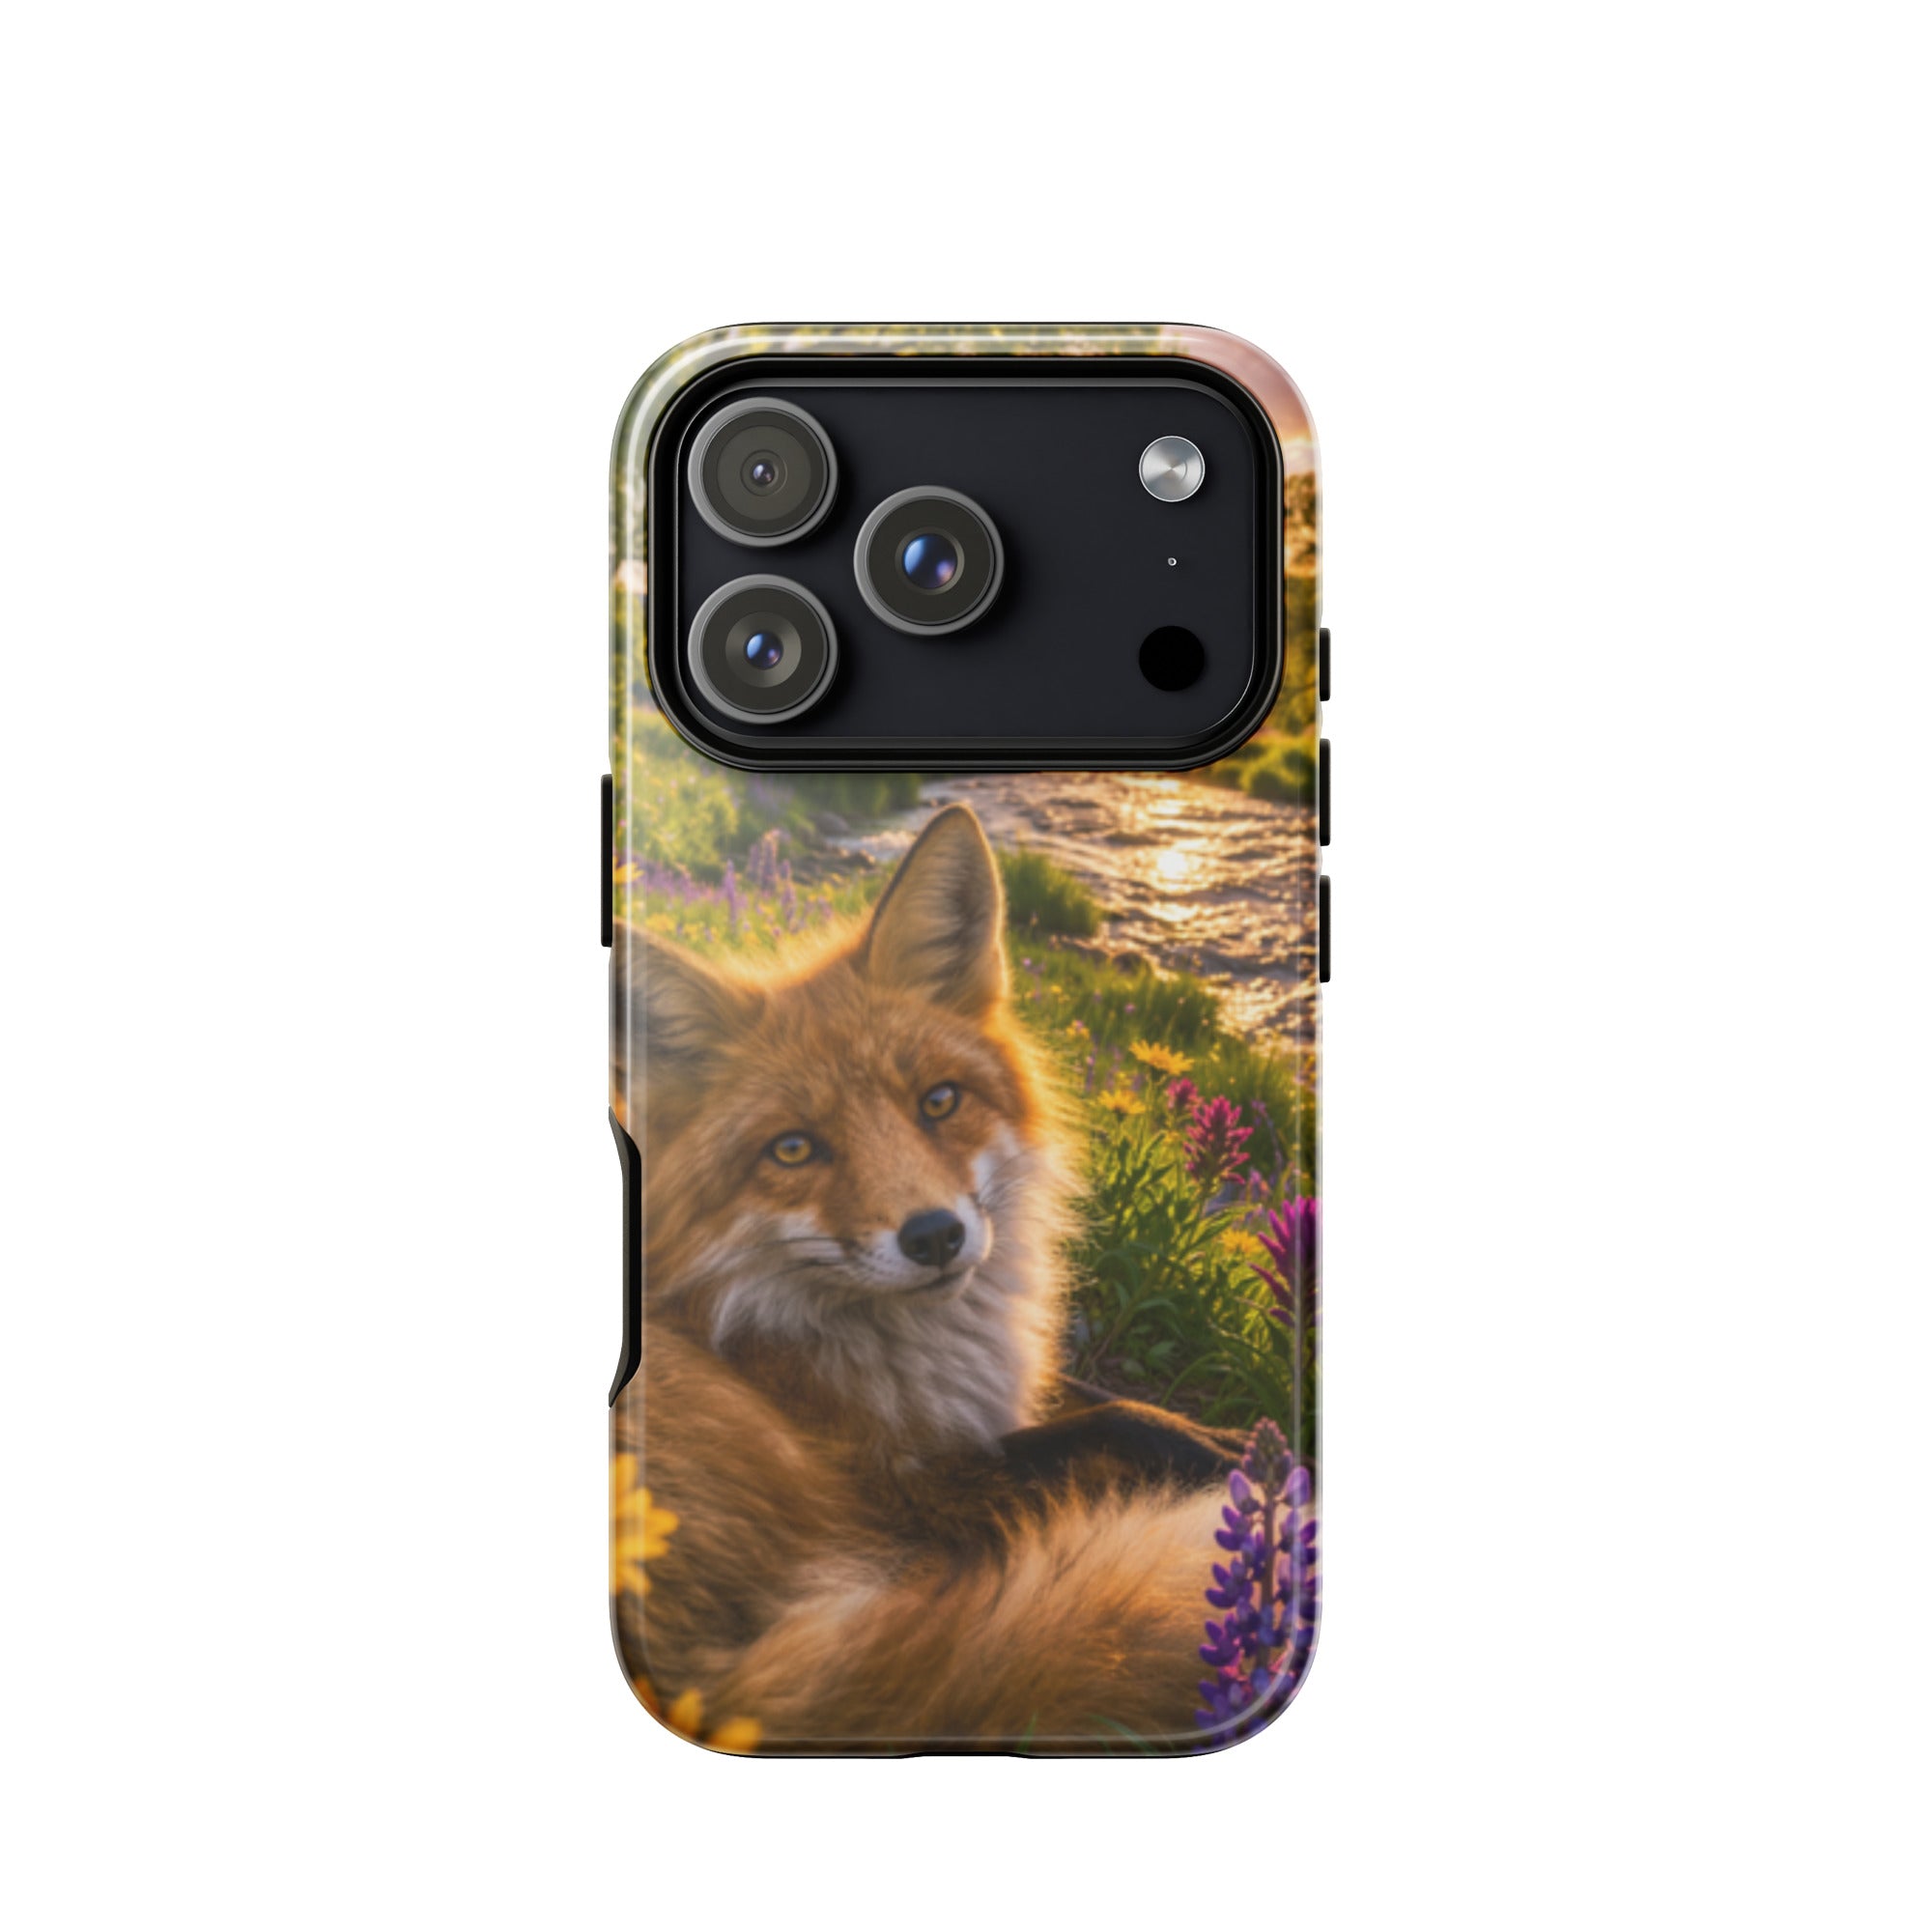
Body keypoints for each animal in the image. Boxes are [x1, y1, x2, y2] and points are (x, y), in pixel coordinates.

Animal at [612, 804, 1257, 1749]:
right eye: (794, 1149)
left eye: (939, 1101)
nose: (936, 1236)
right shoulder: (897, 1494)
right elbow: (1102, 1428)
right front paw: (1229, 1459)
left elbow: (1099, 1402)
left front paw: (1223, 1442)